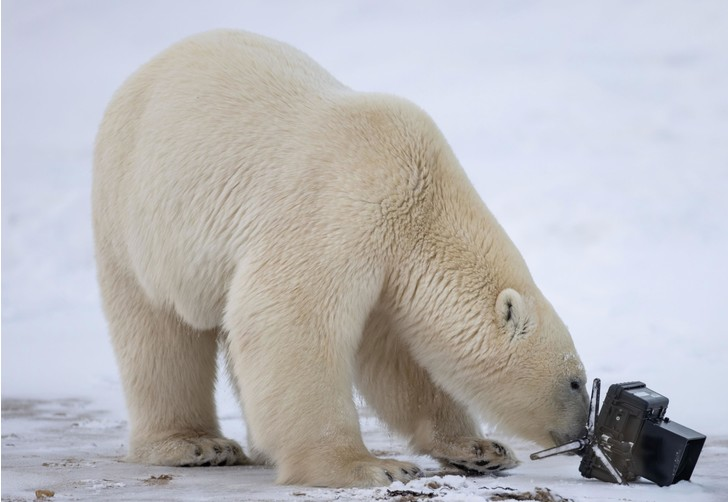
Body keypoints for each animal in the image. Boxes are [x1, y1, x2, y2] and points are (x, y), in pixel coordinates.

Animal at [92, 29, 592, 488]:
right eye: (575, 381)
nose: (581, 431)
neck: (422, 197)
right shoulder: (343, 212)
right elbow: (289, 320)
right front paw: (370, 466)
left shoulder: (389, 272)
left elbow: (399, 362)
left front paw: (481, 449)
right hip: (135, 211)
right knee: (157, 334)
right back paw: (197, 444)